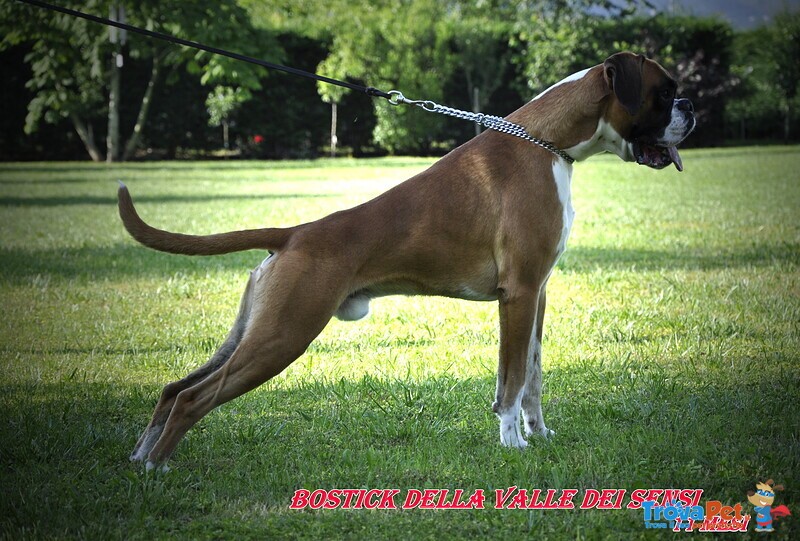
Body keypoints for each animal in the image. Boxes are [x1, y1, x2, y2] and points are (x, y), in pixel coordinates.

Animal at [120, 52, 692, 470]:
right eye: (664, 92)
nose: (690, 107)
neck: (547, 143)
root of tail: (294, 234)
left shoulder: (540, 295)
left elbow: (531, 376)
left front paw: (540, 434)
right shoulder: (520, 294)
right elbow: (510, 381)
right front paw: (513, 445)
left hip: (253, 332)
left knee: (174, 389)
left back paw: (140, 458)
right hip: (282, 336)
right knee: (194, 399)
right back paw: (158, 467)